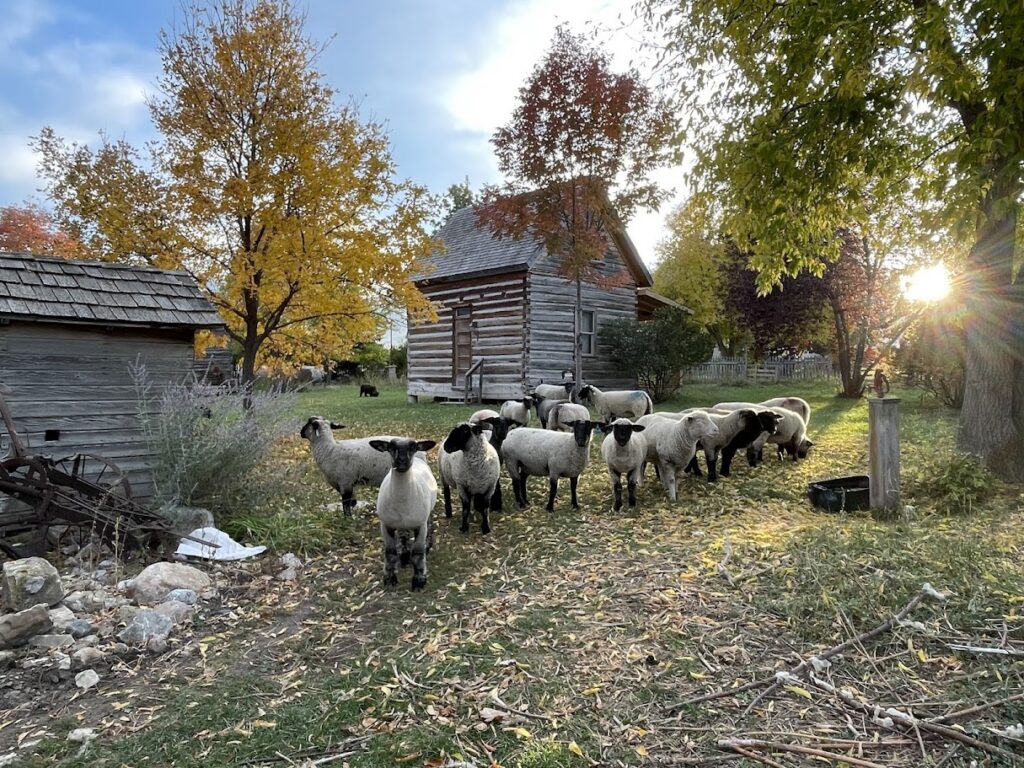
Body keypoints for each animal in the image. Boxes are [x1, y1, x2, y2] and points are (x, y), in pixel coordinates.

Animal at [369, 437, 438, 590]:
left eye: (413, 447)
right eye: (390, 447)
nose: (401, 461)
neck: (401, 500)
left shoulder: (420, 526)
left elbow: (418, 553)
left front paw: (419, 581)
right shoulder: (386, 525)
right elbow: (390, 553)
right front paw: (389, 578)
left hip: (427, 514)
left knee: (430, 525)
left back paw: (428, 545)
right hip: (401, 523)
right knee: (403, 536)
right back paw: (404, 556)